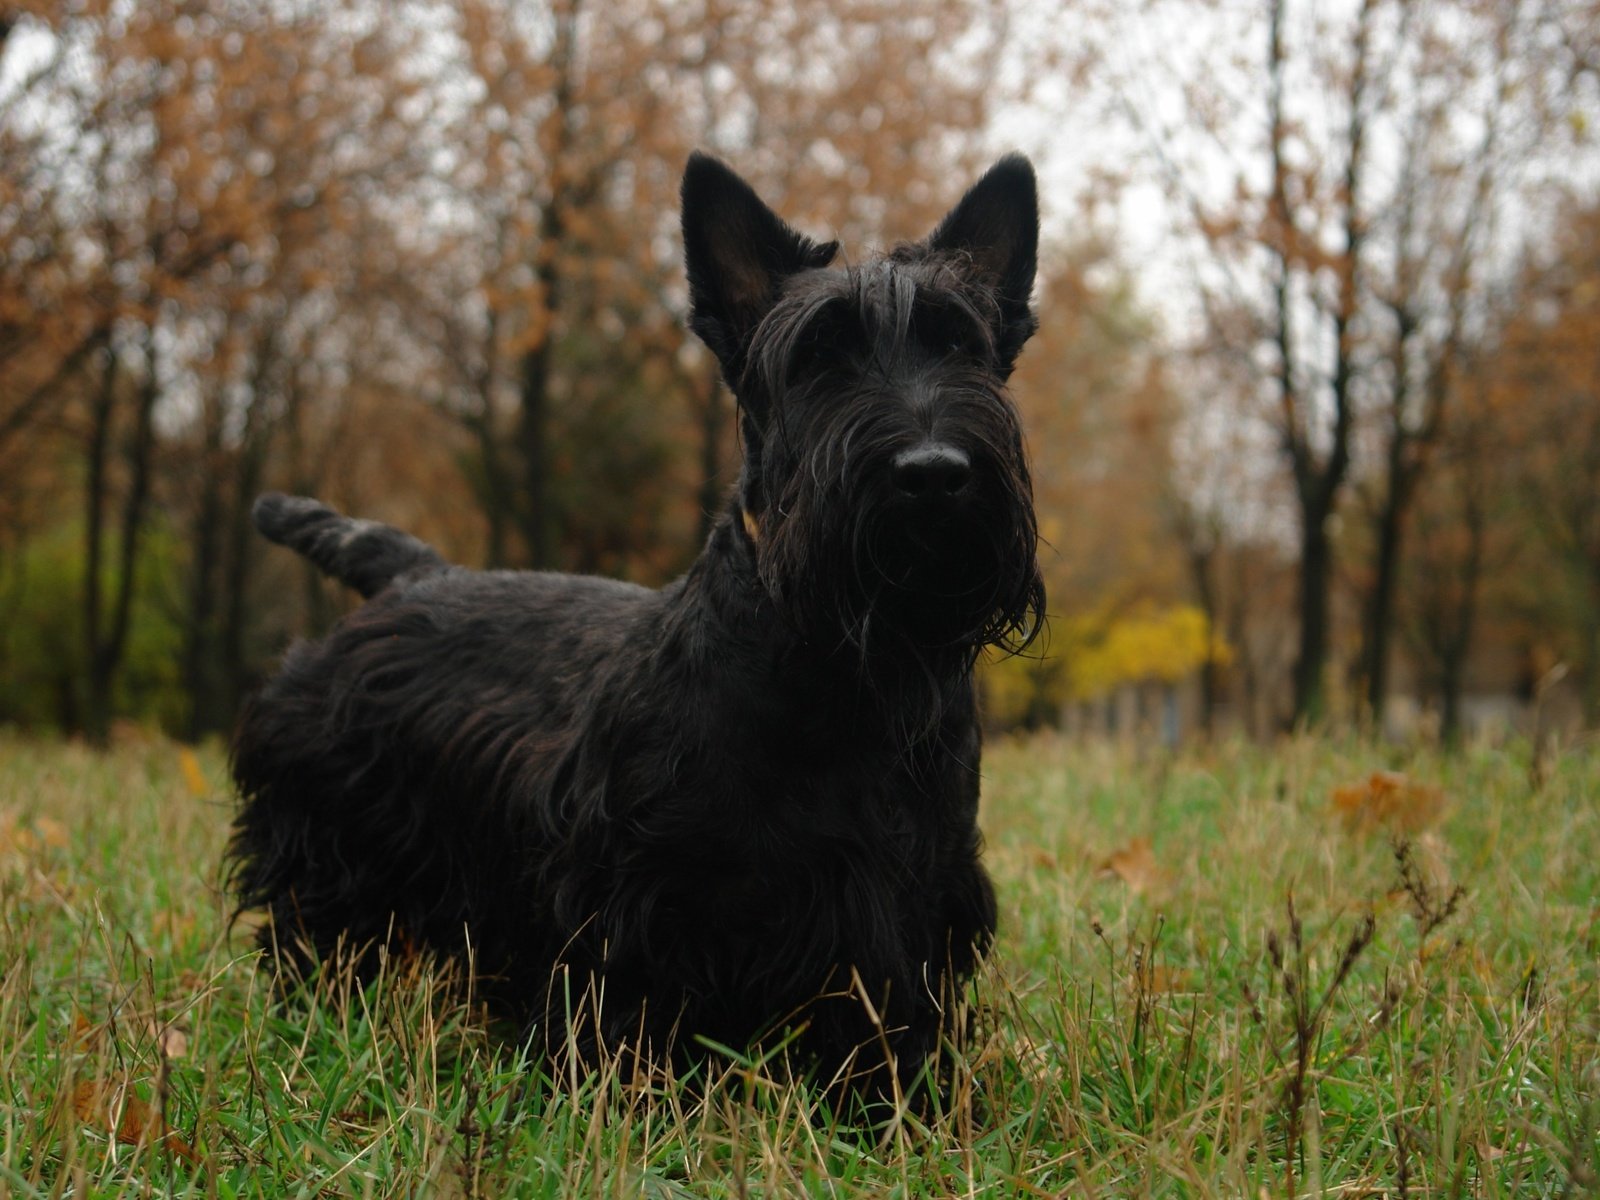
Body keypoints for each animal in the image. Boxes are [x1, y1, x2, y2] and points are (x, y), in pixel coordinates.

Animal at [228, 155, 1049, 1107]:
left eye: (960, 346)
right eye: (817, 357)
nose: (933, 473)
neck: (845, 670)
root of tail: (415, 573)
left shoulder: (914, 893)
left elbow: (891, 1010)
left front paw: (895, 1104)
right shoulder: (636, 894)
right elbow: (623, 1005)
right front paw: (619, 1096)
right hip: (331, 837)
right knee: (315, 927)